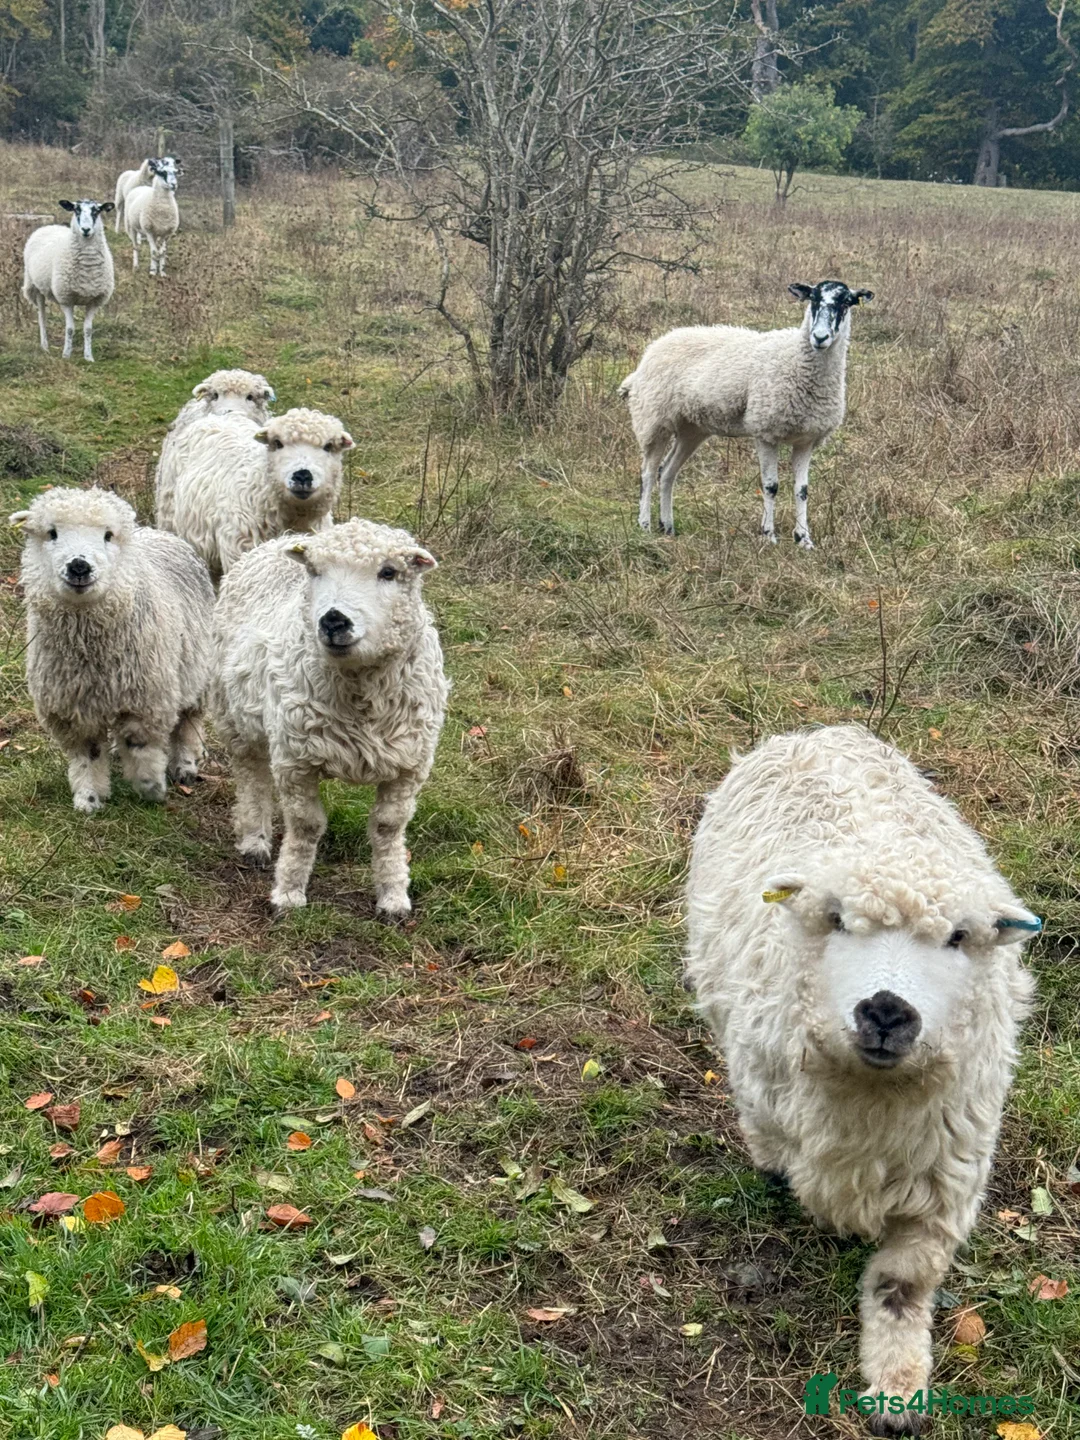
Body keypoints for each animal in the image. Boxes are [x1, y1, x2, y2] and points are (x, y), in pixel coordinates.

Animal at [10, 487, 215, 814]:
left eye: (108, 535)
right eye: (51, 533)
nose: (79, 566)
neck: (91, 649)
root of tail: (155, 530)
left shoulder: (146, 699)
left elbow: (140, 743)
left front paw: (150, 786)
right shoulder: (73, 707)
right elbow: (88, 753)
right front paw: (88, 798)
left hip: (196, 668)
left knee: (188, 722)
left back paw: (185, 765)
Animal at [22, 199, 116, 362]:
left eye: (96, 211)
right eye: (76, 210)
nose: (86, 229)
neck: (87, 265)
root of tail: (50, 226)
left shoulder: (95, 301)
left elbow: (88, 329)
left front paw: (88, 357)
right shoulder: (66, 299)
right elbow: (70, 329)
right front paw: (66, 354)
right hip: (35, 286)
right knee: (42, 317)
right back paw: (45, 346)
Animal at [212, 518, 448, 916]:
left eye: (388, 572)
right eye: (315, 571)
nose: (334, 620)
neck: (361, 699)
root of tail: (286, 537)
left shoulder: (410, 765)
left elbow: (388, 827)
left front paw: (393, 895)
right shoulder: (295, 760)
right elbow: (306, 825)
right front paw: (289, 892)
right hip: (235, 714)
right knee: (251, 776)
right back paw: (254, 839)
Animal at [620, 280, 873, 548]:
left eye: (846, 303)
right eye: (813, 299)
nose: (820, 337)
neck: (795, 358)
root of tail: (651, 351)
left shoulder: (807, 439)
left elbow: (802, 490)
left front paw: (804, 539)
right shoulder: (764, 431)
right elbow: (771, 486)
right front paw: (768, 535)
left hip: (691, 429)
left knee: (667, 471)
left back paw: (667, 526)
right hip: (653, 419)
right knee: (648, 473)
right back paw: (644, 525)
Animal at [684, 725, 1041, 1433]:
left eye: (959, 937)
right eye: (839, 920)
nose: (886, 1010)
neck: (874, 1098)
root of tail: (819, 732)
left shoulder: (947, 1178)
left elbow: (901, 1284)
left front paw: (898, 1390)